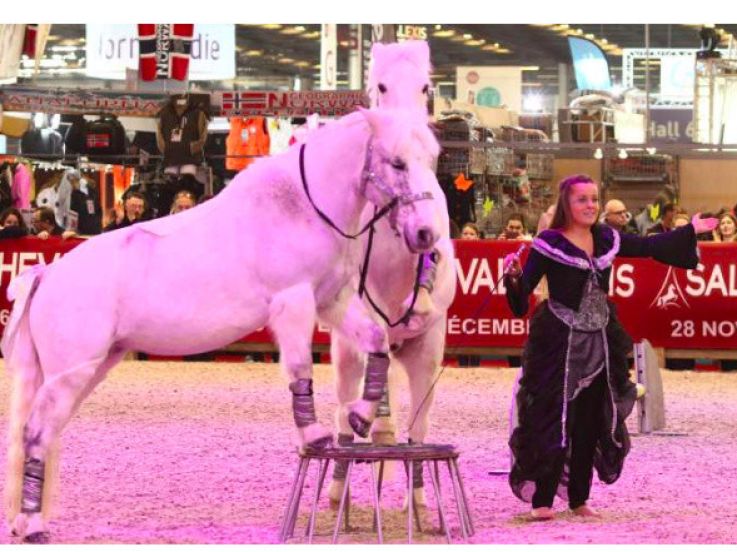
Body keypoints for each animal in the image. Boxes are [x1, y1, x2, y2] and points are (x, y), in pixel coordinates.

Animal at [2, 107, 444, 542]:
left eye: (430, 159)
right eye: (398, 162)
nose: (426, 233)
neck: (301, 206)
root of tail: (45, 275)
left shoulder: (330, 300)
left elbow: (377, 340)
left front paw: (360, 416)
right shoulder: (294, 302)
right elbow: (300, 368)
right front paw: (315, 435)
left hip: (91, 368)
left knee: (45, 433)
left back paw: (28, 522)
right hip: (71, 374)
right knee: (36, 432)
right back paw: (33, 526)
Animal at [328, 40, 458, 509]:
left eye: (425, 87)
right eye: (380, 86)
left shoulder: (430, 344)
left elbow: (417, 430)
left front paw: (418, 501)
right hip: (344, 355)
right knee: (344, 417)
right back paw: (336, 491)